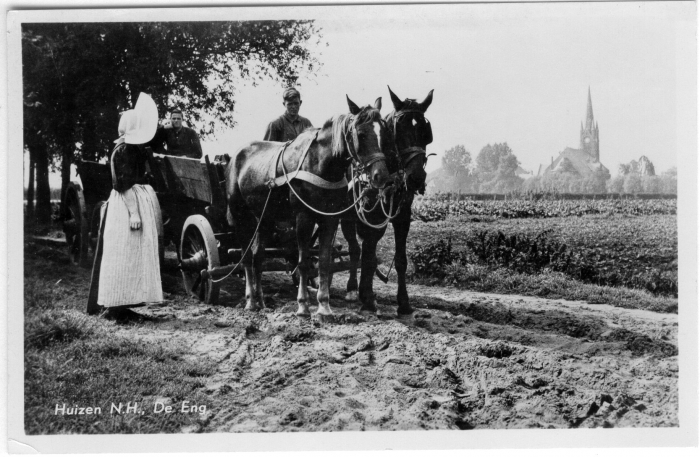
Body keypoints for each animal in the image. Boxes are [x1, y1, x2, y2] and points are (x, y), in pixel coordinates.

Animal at [226, 96, 394, 316]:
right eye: (361, 134)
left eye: (383, 134)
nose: (381, 176)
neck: (319, 164)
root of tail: (235, 157)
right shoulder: (303, 218)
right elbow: (303, 262)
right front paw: (303, 305)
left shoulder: (330, 218)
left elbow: (323, 261)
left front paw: (324, 307)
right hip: (241, 216)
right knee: (245, 258)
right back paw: (250, 301)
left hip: (265, 219)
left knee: (257, 257)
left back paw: (261, 300)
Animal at [340, 86, 432, 314]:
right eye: (398, 130)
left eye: (425, 132)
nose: (416, 177)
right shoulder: (370, 217)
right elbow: (368, 255)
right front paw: (366, 297)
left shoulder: (402, 218)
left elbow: (400, 260)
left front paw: (404, 302)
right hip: (346, 217)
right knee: (354, 249)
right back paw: (352, 289)